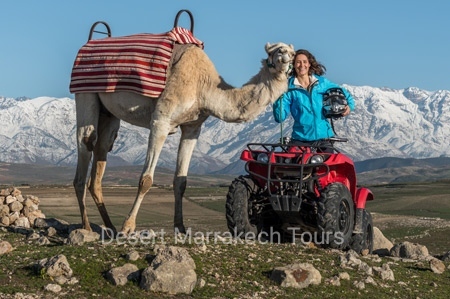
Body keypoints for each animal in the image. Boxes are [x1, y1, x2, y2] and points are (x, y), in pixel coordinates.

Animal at [73, 40, 296, 237]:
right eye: (274, 51)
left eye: (291, 52)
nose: (287, 56)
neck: (204, 87)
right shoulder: (161, 120)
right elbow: (146, 179)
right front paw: (128, 227)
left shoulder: (192, 128)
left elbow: (181, 181)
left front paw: (180, 228)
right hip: (85, 94)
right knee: (86, 143)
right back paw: (87, 227)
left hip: (109, 114)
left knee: (101, 152)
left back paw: (109, 227)